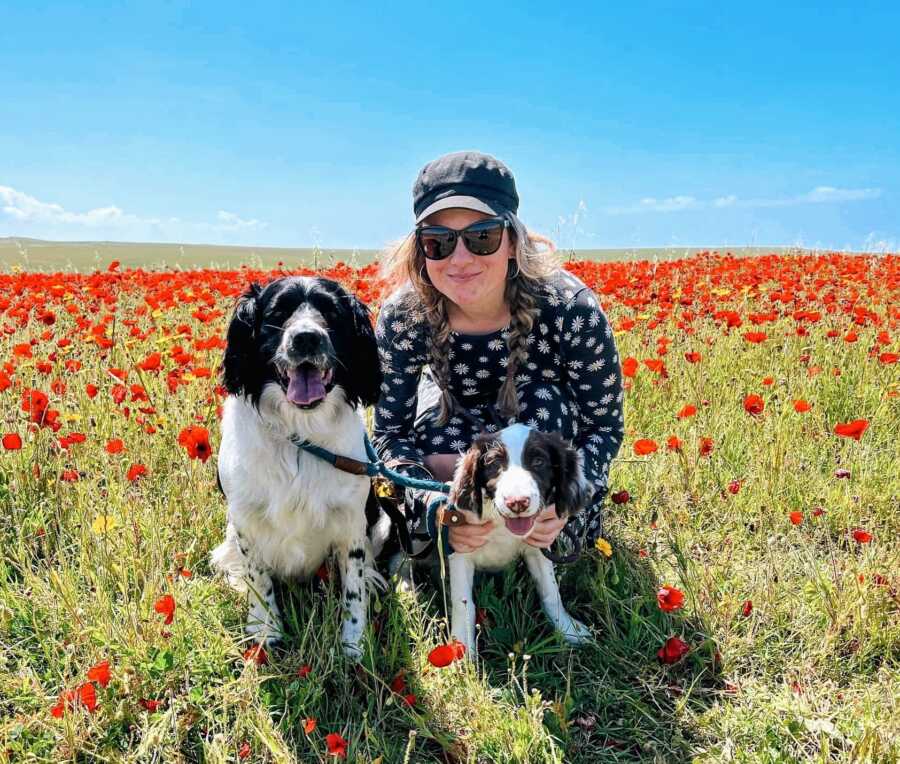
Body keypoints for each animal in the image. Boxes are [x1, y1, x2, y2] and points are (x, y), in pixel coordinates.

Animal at [214, 278, 390, 660]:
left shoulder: (352, 519)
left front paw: (354, 642)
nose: (307, 338)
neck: (300, 435)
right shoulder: (245, 519)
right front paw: (266, 630)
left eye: (332, 313)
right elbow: (258, 578)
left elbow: (353, 588)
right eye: (278, 312)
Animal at [444, 424, 596, 652]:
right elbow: (463, 604)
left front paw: (569, 629)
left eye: (539, 461)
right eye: (494, 463)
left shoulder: (538, 549)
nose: (517, 502)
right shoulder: (461, 548)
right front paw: (461, 647)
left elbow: (551, 591)